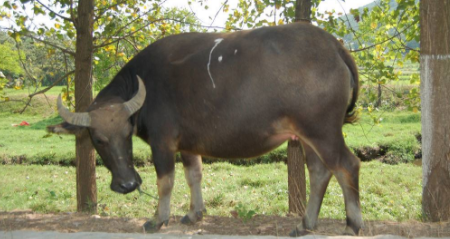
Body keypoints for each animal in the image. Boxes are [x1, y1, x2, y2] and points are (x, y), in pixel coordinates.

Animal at [46, 22, 362, 235]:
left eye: (126, 135)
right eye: (98, 139)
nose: (128, 185)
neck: (147, 87)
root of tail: (334, 45)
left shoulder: (163, 143)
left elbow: (166, 182)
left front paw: (157, 219)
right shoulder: (188, 145)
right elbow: (193, 175)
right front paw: (194, 214)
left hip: (323, 132)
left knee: (347, 165)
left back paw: (352, 224)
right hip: (307, 136)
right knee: (320, 172)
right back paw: (306, 224)